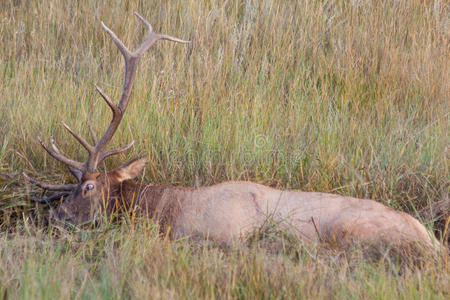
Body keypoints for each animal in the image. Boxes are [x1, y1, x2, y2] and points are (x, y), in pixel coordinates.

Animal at [22, 13, 442, 253]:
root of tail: (433, 240)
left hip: (349, 231)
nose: (54, 217)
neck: (168, 210)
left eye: (88, 186)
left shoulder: (224, 234)